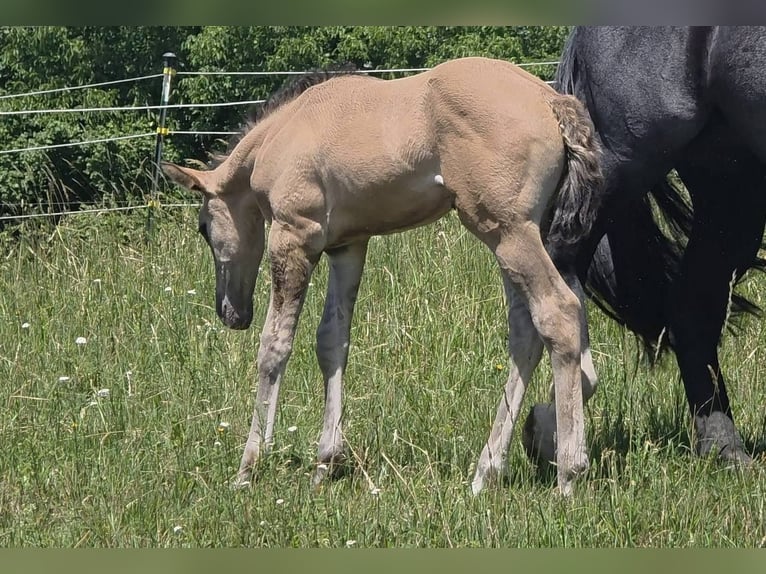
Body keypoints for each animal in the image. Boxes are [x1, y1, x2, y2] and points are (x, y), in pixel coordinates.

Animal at [161, 56, 602, 496]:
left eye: (203, 227)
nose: (231, 313)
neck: (284, 130)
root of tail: (550, 100)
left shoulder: (293, 237)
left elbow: (275, 346)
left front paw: (248, 467)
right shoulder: (348, 247)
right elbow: (332, 341)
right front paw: (326, 461)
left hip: (508, 231)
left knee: (558, 313)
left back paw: (569, 473)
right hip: (519, 235)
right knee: (527, 332)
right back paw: (486, 471)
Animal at [524, 26, 766, 467]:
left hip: (733, 184)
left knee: (692, 310)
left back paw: (725, 450)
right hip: (623, 161)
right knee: (560, 267)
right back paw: (555, 435)